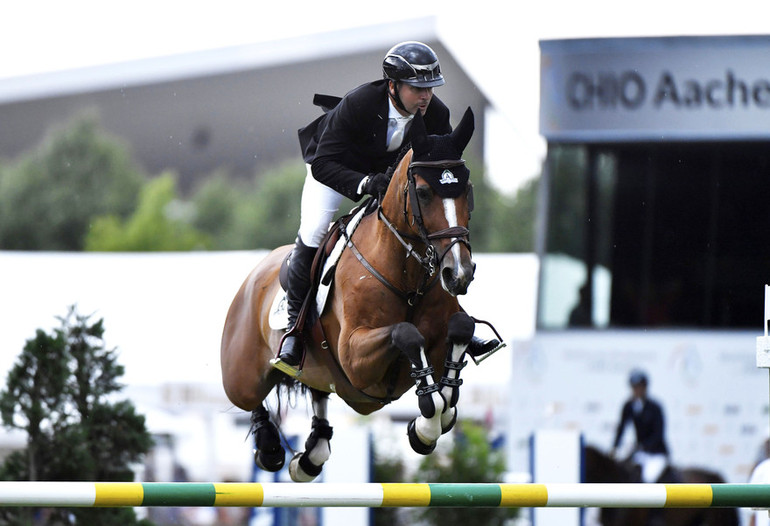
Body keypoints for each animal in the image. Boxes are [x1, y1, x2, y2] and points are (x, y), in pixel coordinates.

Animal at [220, 109, 486, 484]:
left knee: (318, 392)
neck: (407, 279)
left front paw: (428, 424)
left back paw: (310, 455)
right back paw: (271, 446)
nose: (459, 273)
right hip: (241, 374)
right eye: (423, 192)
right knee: (249, 399)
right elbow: (406, 334)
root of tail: (255, 273)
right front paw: (426, 422)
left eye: (467, 190)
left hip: (318, 372)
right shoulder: (354, 355)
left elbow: (459, 331)